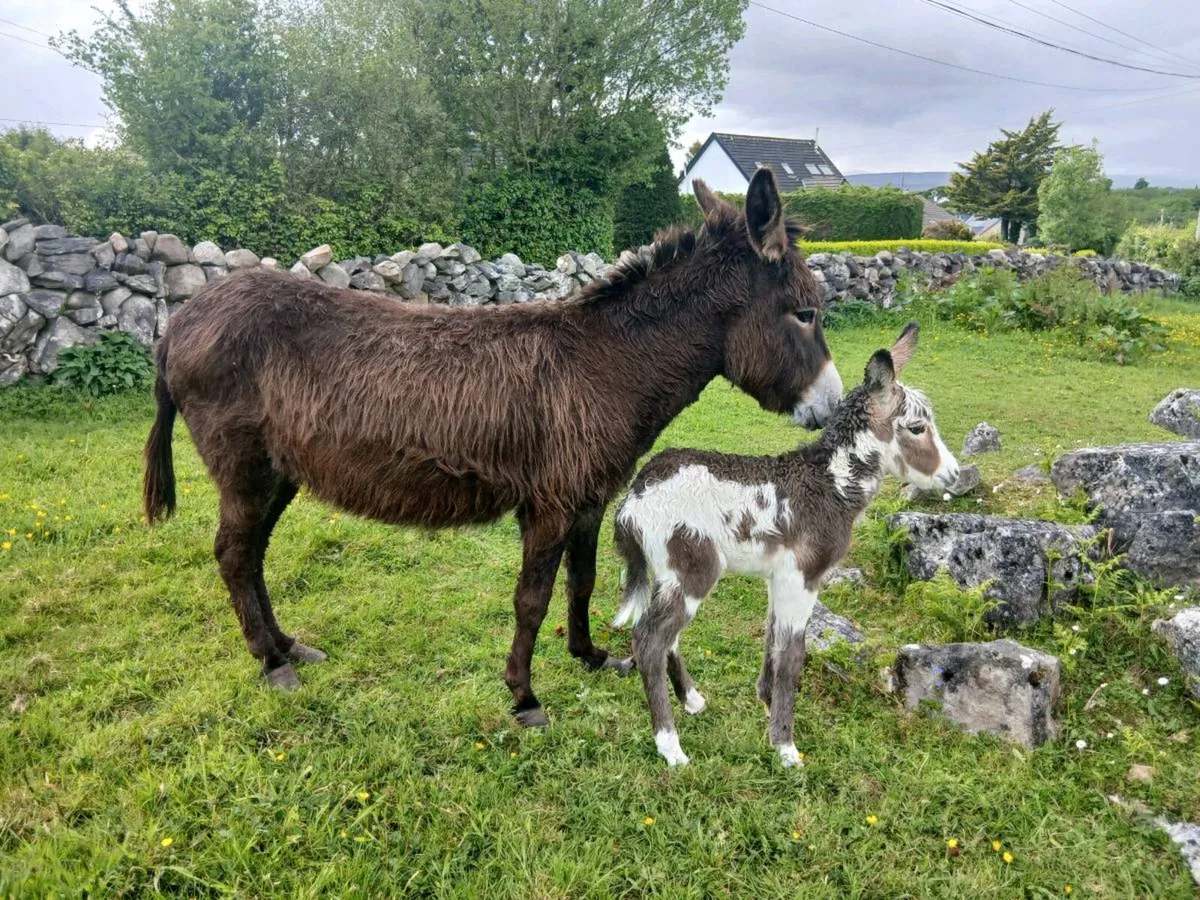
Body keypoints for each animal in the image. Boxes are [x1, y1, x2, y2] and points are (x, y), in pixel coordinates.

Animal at [142, 168, 844, 727]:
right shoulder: (550, 504)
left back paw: (287, 646)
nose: (836, 409)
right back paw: (271, 663)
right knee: (234, 553)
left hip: (278, 471)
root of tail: (180, 320)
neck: (607, 365)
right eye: (806, 313)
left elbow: (582, 582)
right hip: (244, 466)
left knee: (252, 554)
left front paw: (590, 656)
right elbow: (531, 600)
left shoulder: (589, 499)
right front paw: (524, 696)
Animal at [612, 323, 959, 765]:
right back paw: (671, 746)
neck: (830, 485)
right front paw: (786, 747)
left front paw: (765, 702)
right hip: (692, 568)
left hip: (667, 573)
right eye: (917, 427)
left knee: (663, 636)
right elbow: (793, 655)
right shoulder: (804, 576)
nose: (954, 474)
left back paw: (691, 700)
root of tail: (633, 498)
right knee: (649, 640)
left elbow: (772, 640)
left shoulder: (779, 576)